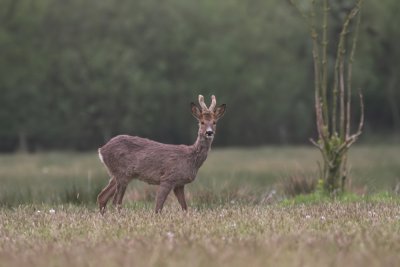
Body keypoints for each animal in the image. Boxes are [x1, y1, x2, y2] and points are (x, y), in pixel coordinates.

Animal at [97, 95, 227, 215]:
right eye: (202, 122)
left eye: (214, 122)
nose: (209, 132)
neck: (191, 159)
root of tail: (101, 150)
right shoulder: (168, 178)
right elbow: (158, 208)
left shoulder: (179, 184)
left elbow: (185, 208)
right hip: (122, 173)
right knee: (116, 201)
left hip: (117, 175)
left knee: (102, 196)